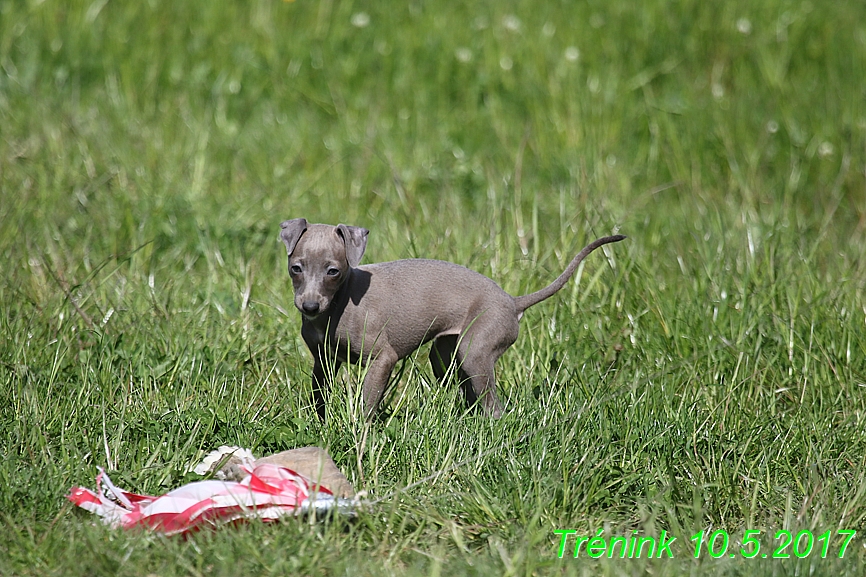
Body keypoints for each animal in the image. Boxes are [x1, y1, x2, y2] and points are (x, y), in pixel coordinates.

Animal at [280, 218, 624, 420]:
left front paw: (362, 434)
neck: (338, 304)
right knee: (470, 394)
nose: (309, 306)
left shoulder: (383, 358)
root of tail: (512, 301)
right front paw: (318, 424)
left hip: (476, 351)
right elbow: (319, 395)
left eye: (333, 271)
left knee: (494, 408)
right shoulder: (323, 360)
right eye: (296, 268)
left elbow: (368, 402)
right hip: (446, 357)